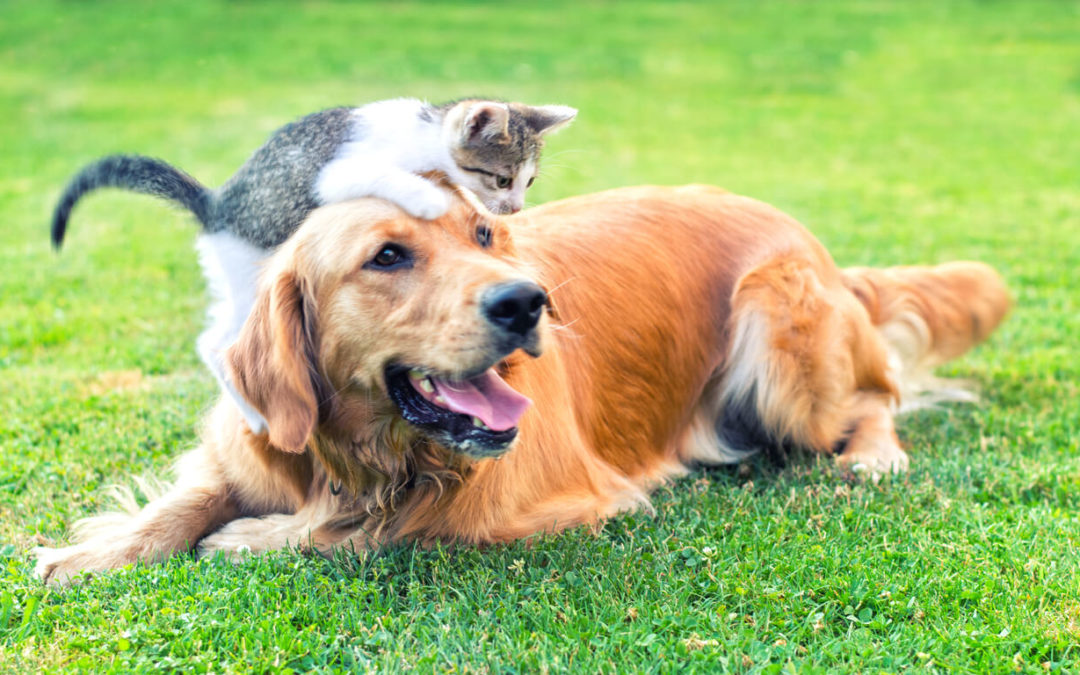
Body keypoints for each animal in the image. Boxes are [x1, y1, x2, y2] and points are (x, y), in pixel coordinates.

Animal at [35, 181, 1010, 583]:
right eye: (387, 256)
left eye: (483, 235)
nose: (525, 301)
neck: (370, 454)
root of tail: (812, 240)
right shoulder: (250, 440)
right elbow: (186, 498)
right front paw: (91, 551)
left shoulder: (549, 500)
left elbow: (383, 530)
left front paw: (251, 538)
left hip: (782, 339)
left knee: (876, 396)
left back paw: (873, 456)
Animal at [50, 96, 578, 429]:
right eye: (502, 178)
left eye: (528, 182)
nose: (514, 208)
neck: (423, 134)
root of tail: (216, 204)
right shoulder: (337, 173)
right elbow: (385, 178)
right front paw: (424, 198)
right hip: (249, 271)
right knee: (220, 345)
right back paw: (255, 414)